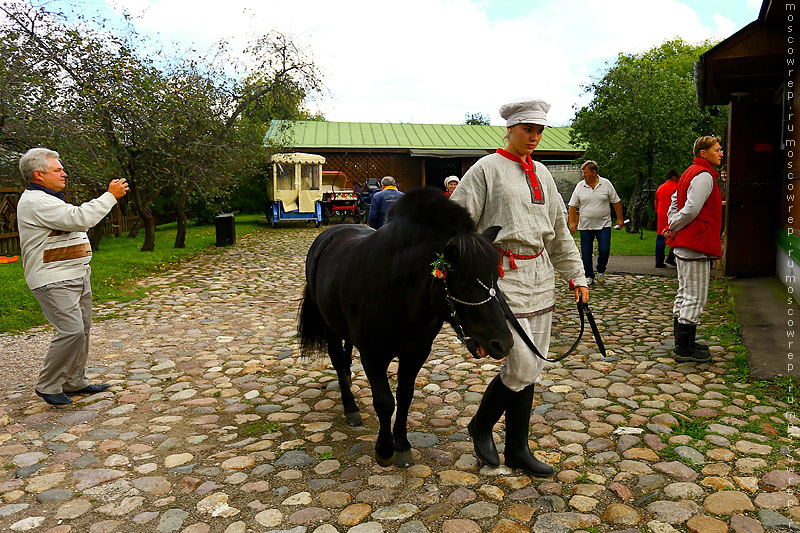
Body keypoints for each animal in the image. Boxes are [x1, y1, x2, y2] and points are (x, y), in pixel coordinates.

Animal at [298, 186, 512, 466]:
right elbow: (384, 401)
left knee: (344, 360)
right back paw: (351, 408)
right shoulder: (372, 355)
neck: (396, 290)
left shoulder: (416, 352)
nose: (503, 343)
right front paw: (384, 448)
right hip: (329, 327)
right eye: (464, 286)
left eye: (496, 278)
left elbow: (405, 396)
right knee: (337, 360)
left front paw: (401, 444)